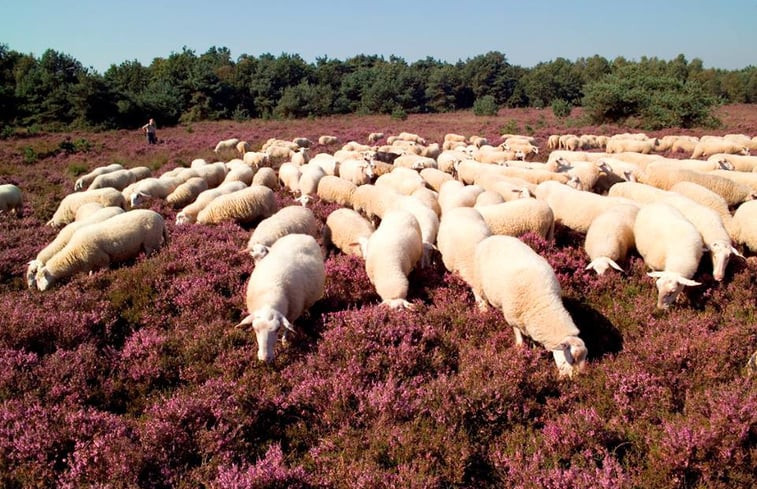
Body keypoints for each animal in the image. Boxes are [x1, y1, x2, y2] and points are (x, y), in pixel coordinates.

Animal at [35, 209, 167, 290]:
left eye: (39, 279)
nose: (40, 291)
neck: (74, 253)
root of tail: (160, 217)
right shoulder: (89, 265)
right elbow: (90, 274)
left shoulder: (103, 259)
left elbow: (105, 270)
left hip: (150, 242)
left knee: (152, 253)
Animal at [236, 233, 324, 362]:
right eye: (255, 329)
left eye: (277, 329)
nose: (265, 358)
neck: (269, 298)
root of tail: (301, 235)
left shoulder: (292, 313)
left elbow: (288, 327)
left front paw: (284, 341)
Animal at [472, 235, 592, 378]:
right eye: (572, 359)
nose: (578, 378)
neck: (542, 302)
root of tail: (493, 237)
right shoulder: (513, 315)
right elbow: (517, 332)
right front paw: (519, 347)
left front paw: (535, 350)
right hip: (478, 280)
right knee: (477, 292)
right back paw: (483, 310)